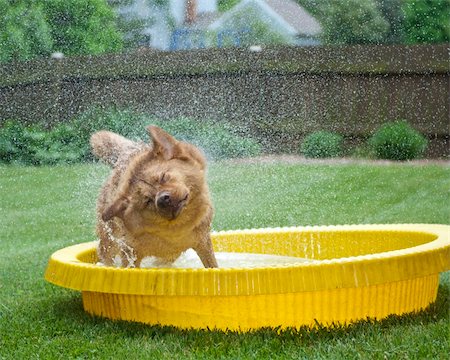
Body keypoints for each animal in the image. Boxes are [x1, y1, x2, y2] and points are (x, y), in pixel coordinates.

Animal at [89, 125, 218, 268]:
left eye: (163, 177)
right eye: (147, 200)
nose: (164, 198)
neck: (176, 232)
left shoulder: (203, 243)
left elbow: (213, 265)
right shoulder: (130, 253)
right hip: (109, 241)